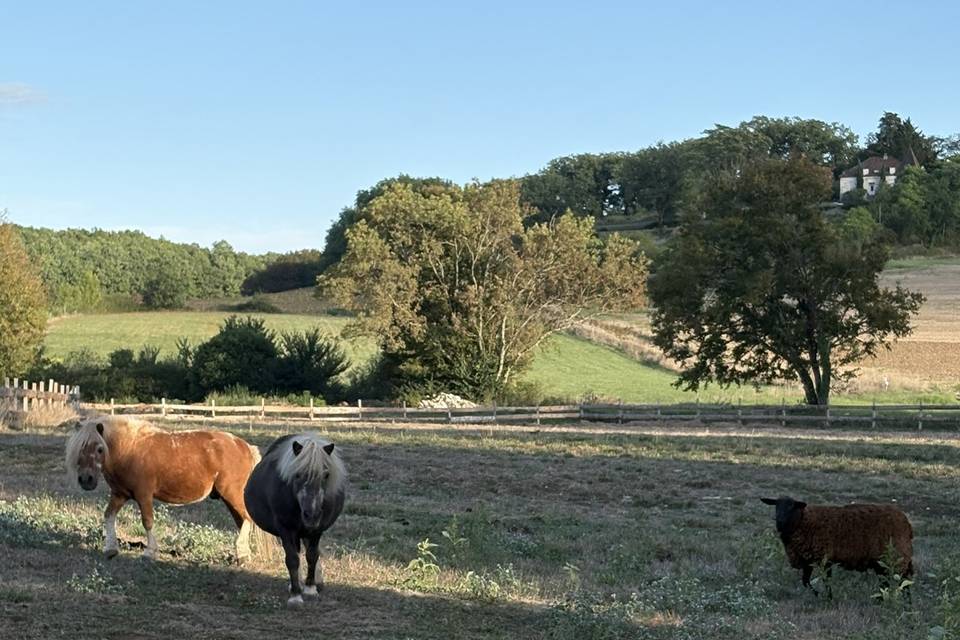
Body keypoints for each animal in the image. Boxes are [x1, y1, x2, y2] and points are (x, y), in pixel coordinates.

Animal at [759, 496, 913, 593]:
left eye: (791, 506)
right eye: (776, 506)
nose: (779, 522)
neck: (804, 521)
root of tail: (906, 521)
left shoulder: (825, 558)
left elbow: (826, 582)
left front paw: (828, 597)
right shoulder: (809, 560)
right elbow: (806, 582)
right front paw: (818, 594)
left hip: (897, 556)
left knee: (903, 581)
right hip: (882, 561)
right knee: (888, 582)